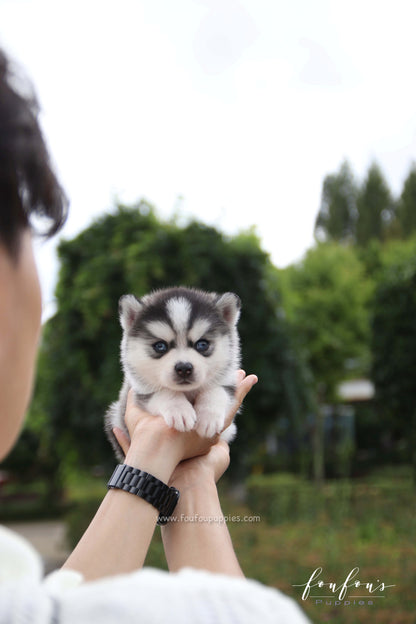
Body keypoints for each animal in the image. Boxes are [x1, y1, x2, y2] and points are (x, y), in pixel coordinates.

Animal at [105, 286, 240, 458]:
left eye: (202, 344)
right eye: (160, 346)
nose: (184, 368)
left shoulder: (228, 380)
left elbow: (215, 391)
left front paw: (208, 416)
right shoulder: (140, 391)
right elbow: (164, 392)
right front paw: (179, 410)